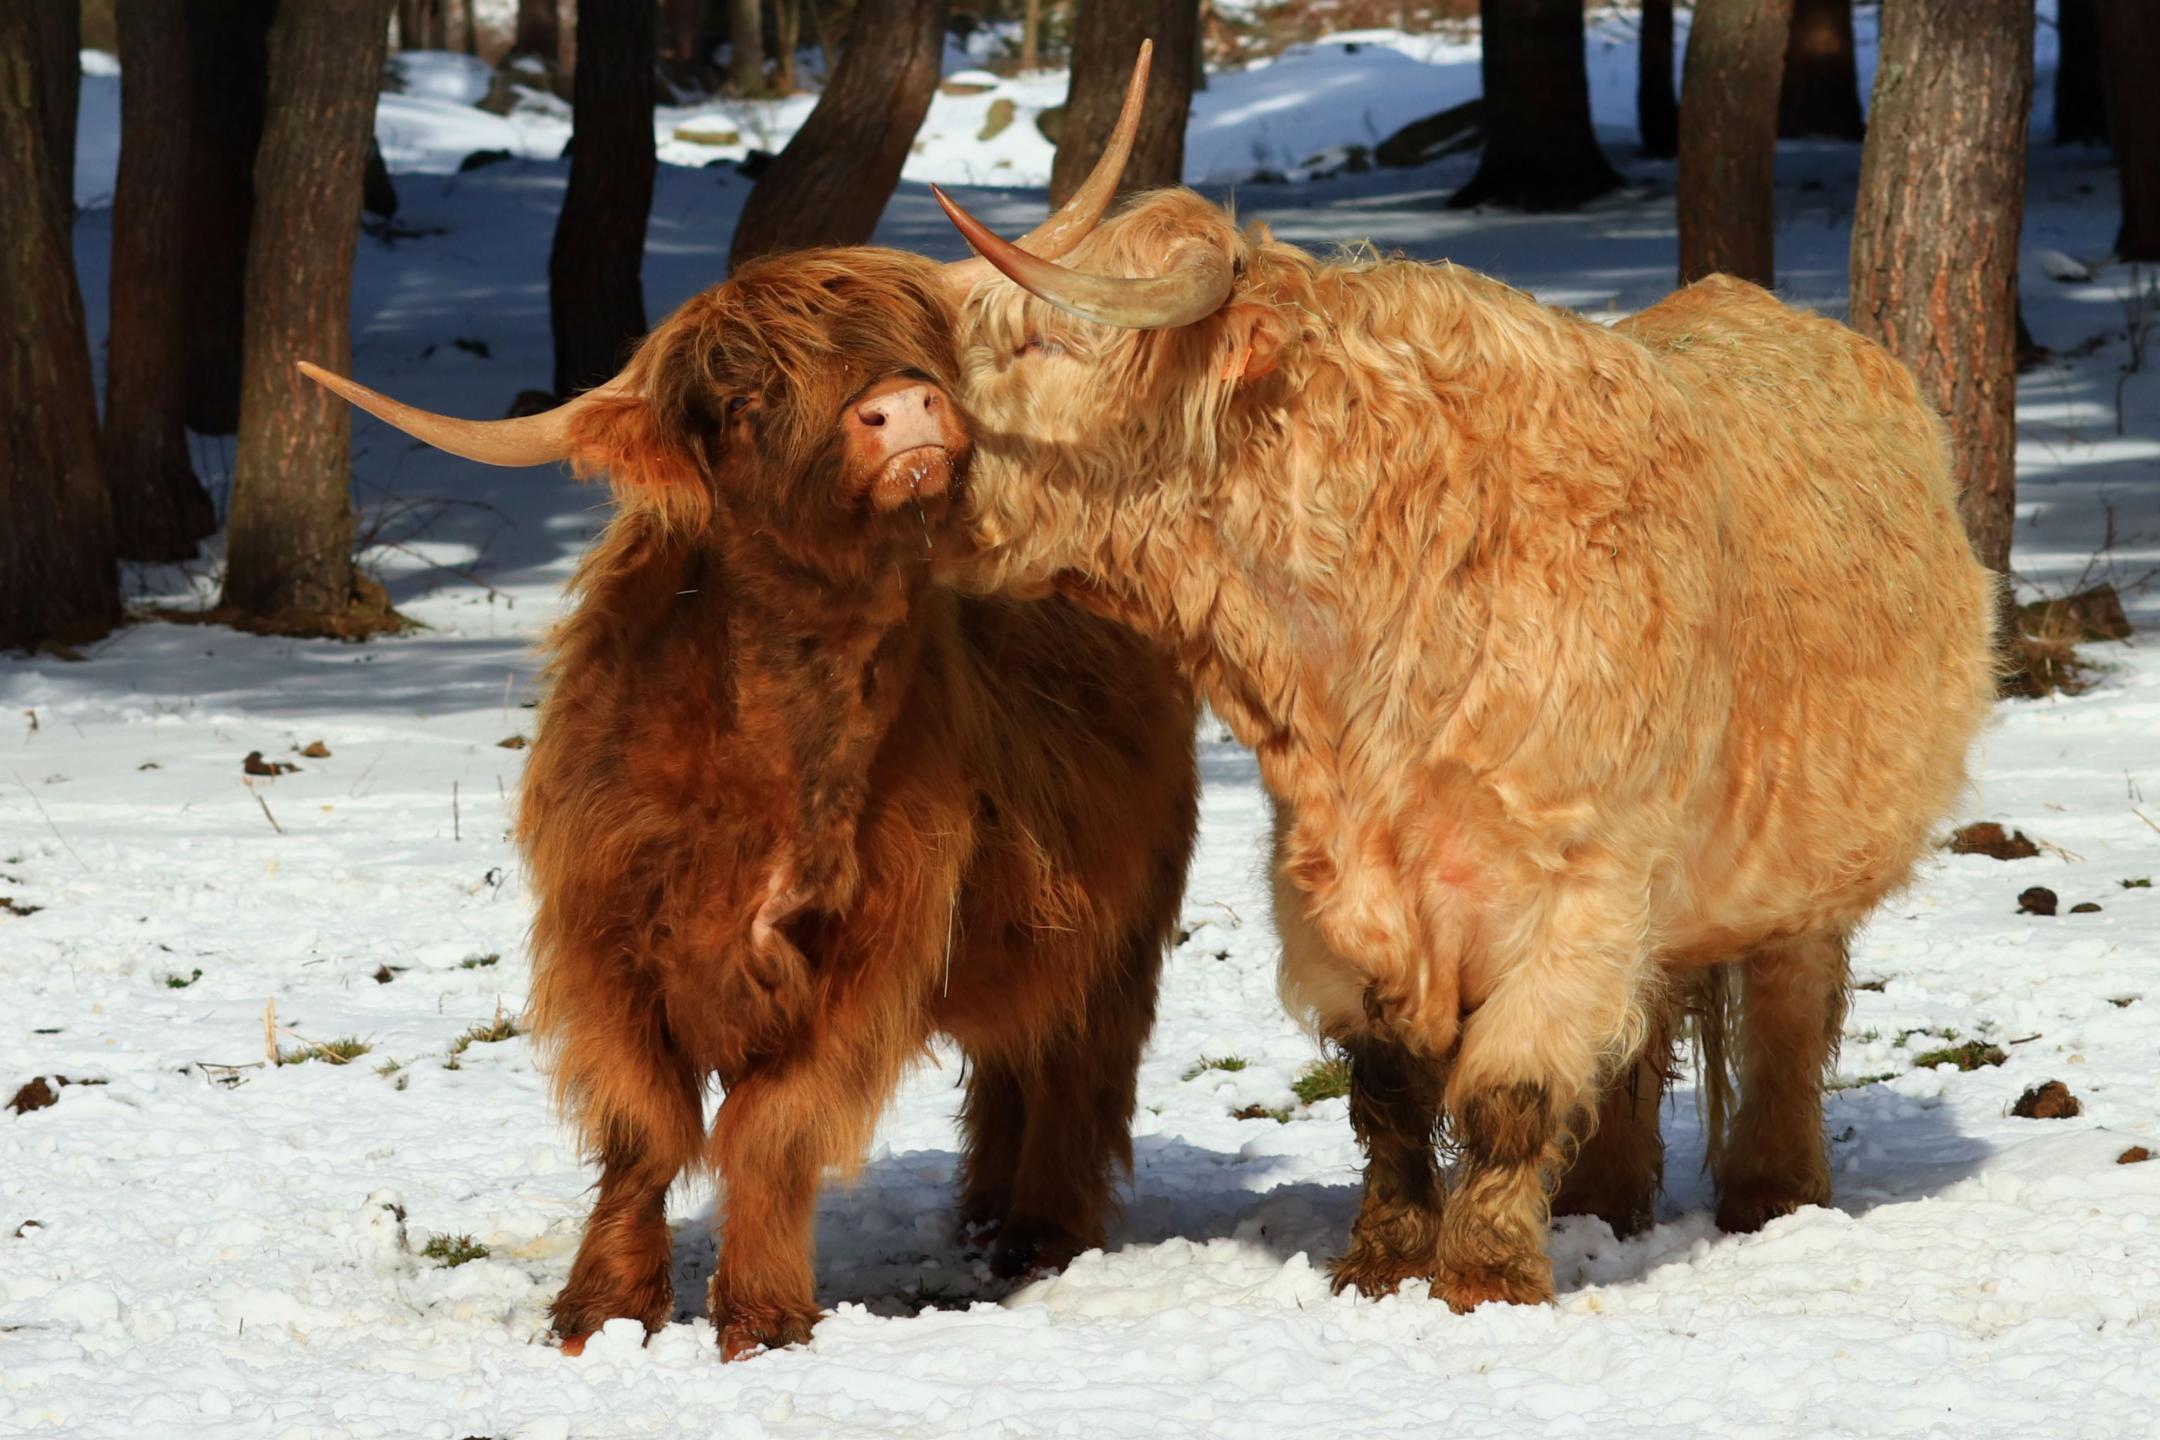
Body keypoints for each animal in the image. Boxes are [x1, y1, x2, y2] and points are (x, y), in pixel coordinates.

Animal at [297, 81, 1199, 1360]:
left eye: (920, 345)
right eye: (740, 392)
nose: (905, 408)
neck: (782, 742)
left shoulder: (875, 945)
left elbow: (769, 1127)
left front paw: (762, 1320)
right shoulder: (606, 927)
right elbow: (645, 1125)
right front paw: (596, 1312)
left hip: (1124, 918)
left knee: (1078, 1056)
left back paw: (1039, 1235)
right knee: (1015, 1054)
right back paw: (983, 1217)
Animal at [925, 183, 1999, 1312]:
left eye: (1042, 340)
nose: (917, 424)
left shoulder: (1578, 889)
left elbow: (1510, 1094)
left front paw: (1487, 1276)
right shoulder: (1330, 902)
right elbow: (1390, 1092)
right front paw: (1385, 1260)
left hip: (1807, 869)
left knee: (1789, 1009)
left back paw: (1774, 1193)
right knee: (1643, 1028)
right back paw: (1602, 1202)